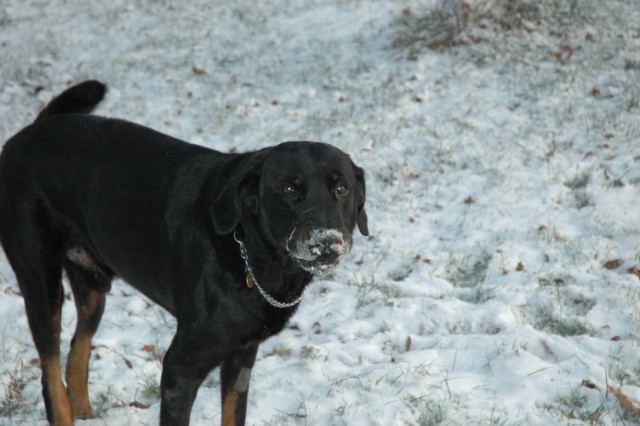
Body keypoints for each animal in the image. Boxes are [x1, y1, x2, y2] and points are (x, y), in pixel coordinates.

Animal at [0, 80, 368, 426]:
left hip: (92, 288)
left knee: (78, 349)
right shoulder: (181, 366)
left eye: (342, 188)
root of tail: (30, 131)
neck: (252, 255)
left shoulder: (241, 357)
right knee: (50, 370)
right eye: (289, 188)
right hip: (40, 282)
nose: (327, 242)